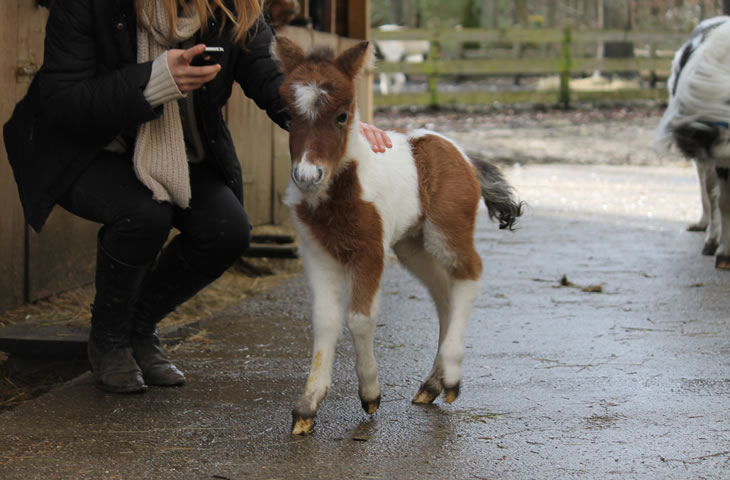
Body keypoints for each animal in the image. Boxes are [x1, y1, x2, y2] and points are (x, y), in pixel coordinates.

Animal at [270, 38, 520, 436]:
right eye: (289, 115)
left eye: (342, 115)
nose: (308, 175)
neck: (341, 188)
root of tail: (463, 155)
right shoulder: (317, 253)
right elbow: (324, 321)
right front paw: (306, 408)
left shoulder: (370, 251)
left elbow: (359, 318)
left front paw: (370, 394)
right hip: (412, 245)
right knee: (444, 295)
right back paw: (432, 384)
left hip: (445, 233)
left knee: (469, 275)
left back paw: (451, 377)